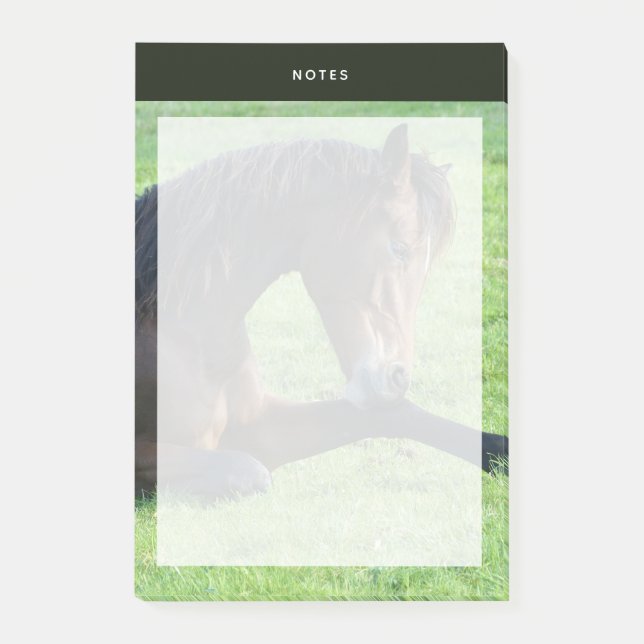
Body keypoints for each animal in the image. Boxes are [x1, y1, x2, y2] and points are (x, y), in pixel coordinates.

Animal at [135, 124, 507, 501]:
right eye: (399, 248)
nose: (397, 379)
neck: (184, 333)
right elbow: (247, 470)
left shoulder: (261, 426)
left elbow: (398, 414)